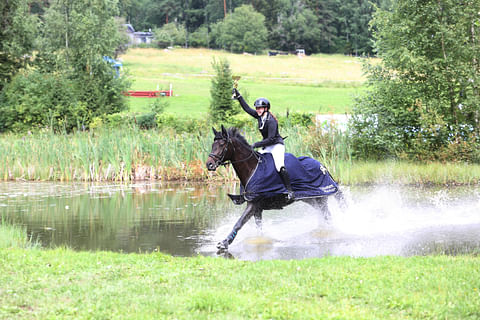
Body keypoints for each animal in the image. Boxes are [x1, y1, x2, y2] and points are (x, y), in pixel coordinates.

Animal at [204, 125, 344, 252]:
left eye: (222, 144)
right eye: (213, 144)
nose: (209, 164)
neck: (252, 168)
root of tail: (323, 167)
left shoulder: (253, 204)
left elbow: (239, 223)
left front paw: (224, 243)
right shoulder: (257, 208)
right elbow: (259, 228)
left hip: (320, 198)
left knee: (327, 216)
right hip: (312, 199)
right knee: (325, 216)